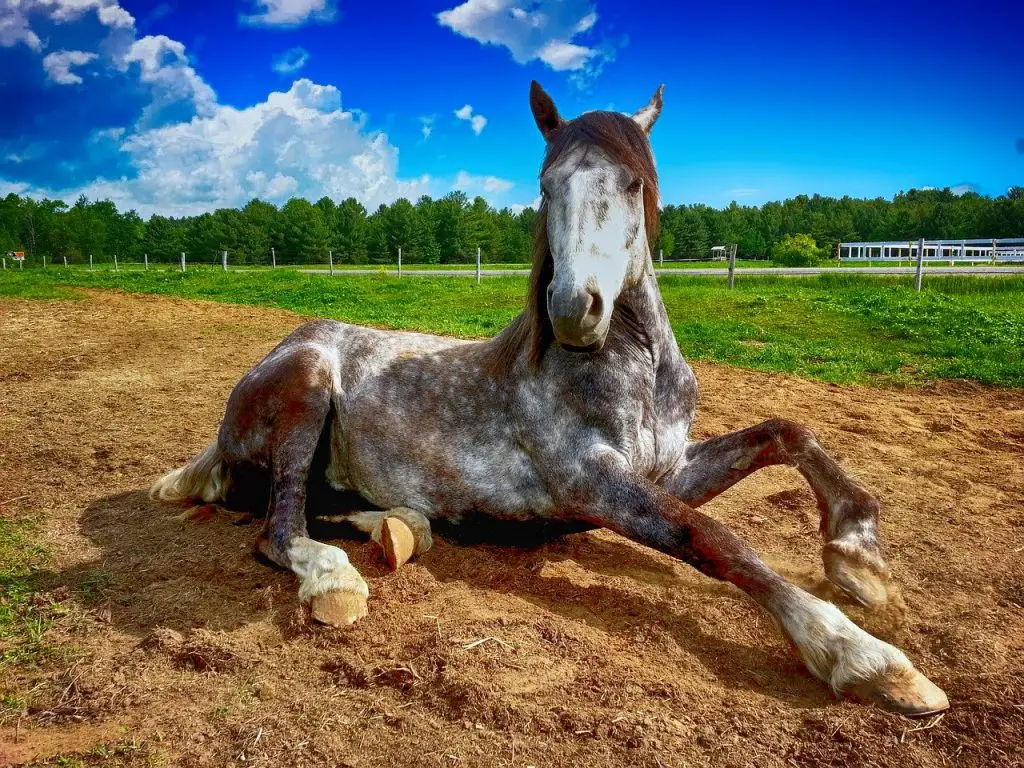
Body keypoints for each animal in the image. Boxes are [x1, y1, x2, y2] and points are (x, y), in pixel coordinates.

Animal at [153, 81, 950, 720]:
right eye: (545, 185)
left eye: (632, 183)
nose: (574, 310)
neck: (634, 371)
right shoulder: (592, 484)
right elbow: (715, 538)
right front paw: (866, 658)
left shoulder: (668, 469)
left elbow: (788, 432)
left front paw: (860, 560)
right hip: (310, 382)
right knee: (278, 526)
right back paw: (334, 579)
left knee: (326, 507)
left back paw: (400, 527)